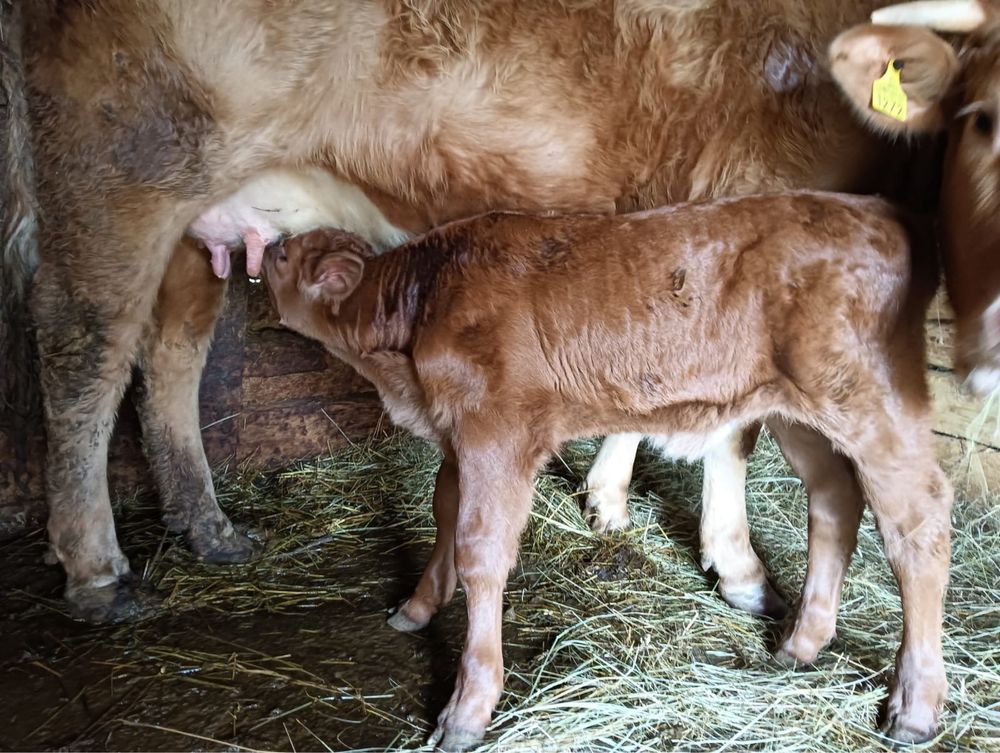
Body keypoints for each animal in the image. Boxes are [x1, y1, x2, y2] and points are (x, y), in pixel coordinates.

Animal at [262, 191, 948, 748]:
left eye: (288, 256)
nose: (265, 245)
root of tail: (878, 211)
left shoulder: (496, 431)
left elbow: (480, 549)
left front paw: (466, 709)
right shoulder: (458, 435)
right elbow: (444, 515)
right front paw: (419, 605)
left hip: (875, 403)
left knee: (919, 525)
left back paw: (914, 708)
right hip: (795, 410)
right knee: (834, 496)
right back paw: (801, 643)